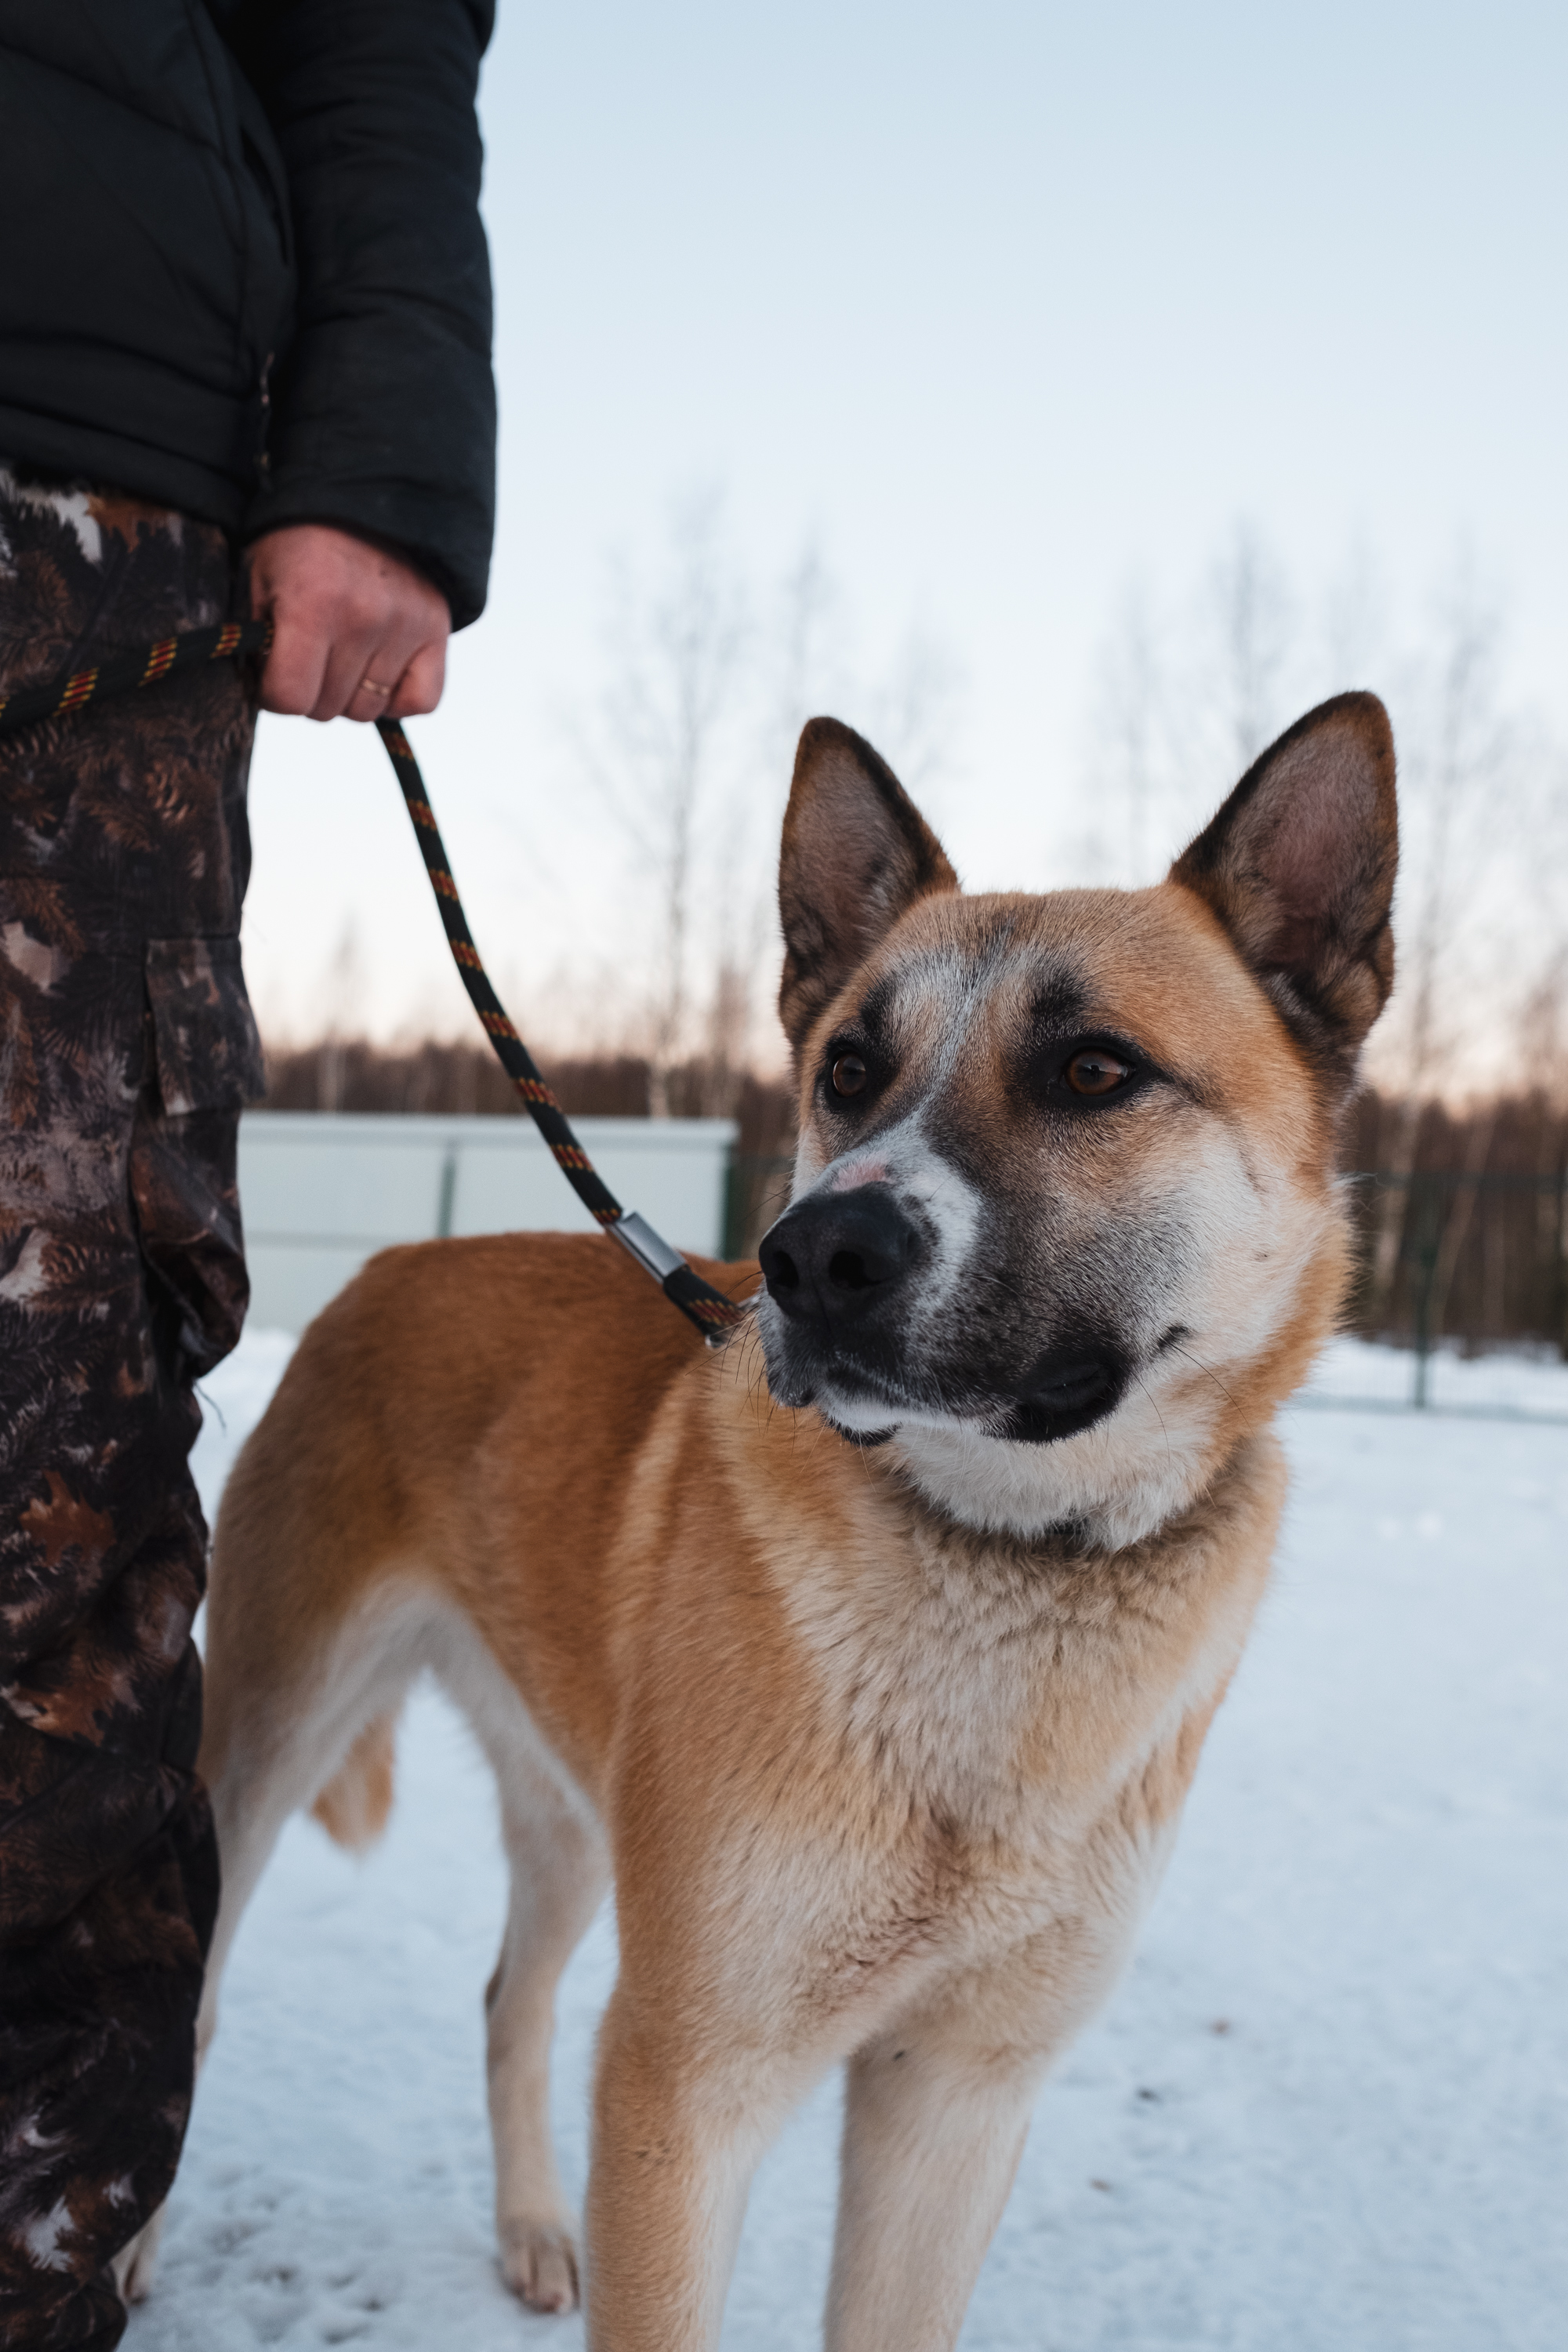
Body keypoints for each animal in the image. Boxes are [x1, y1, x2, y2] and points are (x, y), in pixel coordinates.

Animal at [147, 687, 1401, 2343]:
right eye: (851, 1067)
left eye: (1093, 1072)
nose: (814, 1256)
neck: (1001, 1563)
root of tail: (397, 1260)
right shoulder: (687, 2083)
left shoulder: (955, 2097)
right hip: (266, 1748)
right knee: (203, 1992)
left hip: (573, 1812)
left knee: (509, 2000)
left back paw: (531, 2228)